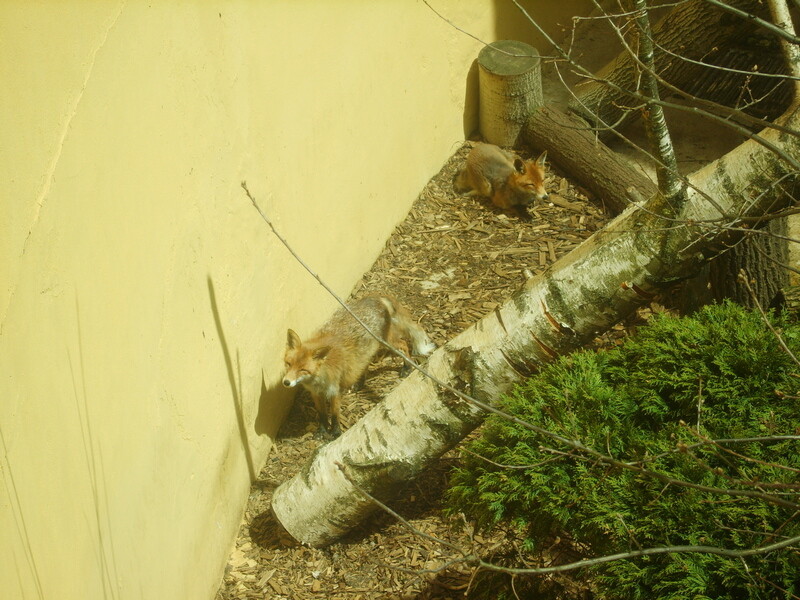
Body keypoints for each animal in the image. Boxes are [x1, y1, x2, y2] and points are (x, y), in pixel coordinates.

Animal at [282, 294, 435, 439]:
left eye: (303, 370)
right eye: (288, 364)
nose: (286, 382)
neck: (319, 379)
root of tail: (376, 297)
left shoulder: (334, 391)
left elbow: (335, 415)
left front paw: (336, 433)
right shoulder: (315, 393)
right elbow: (322, 415)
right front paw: (322, 431)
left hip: (386, 341)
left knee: (403, 345)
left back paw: (407, 368)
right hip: (368, 348)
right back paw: (360, 382)